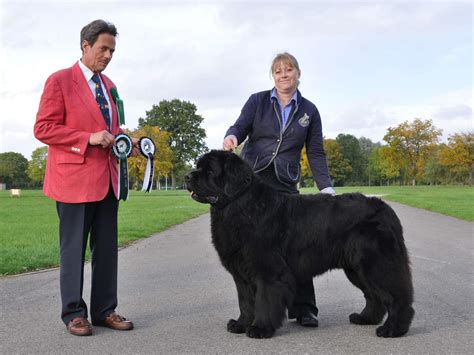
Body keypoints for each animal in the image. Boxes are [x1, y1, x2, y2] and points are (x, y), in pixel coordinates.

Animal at [185, 150, 414, 340]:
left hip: (376, 265)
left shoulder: (268, 271)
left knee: (396, 297)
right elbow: (246, 302)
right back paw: (365, 318)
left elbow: (264, 301)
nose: (187, 176)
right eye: (198, 166)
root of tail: (386, 209)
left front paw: (260, 328)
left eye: (209, 170)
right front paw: (241, 325)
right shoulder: (242, 274)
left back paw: (393, 329)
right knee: (373, 295)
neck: (239, 205)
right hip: (356, 268)